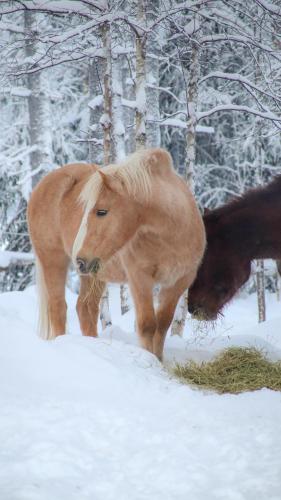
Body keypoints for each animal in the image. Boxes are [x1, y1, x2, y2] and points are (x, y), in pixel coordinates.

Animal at [27, 148, 205, 360]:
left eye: (101, 211)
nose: (80, 258)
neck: (171, 236)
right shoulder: (140, 278)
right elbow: (147, 325)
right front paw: (150, 361)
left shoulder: (178, 282)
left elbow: (162, 324)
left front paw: (159, 360)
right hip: (54, 260)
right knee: (58, 307)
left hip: (93, 274)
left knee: (85, 308)